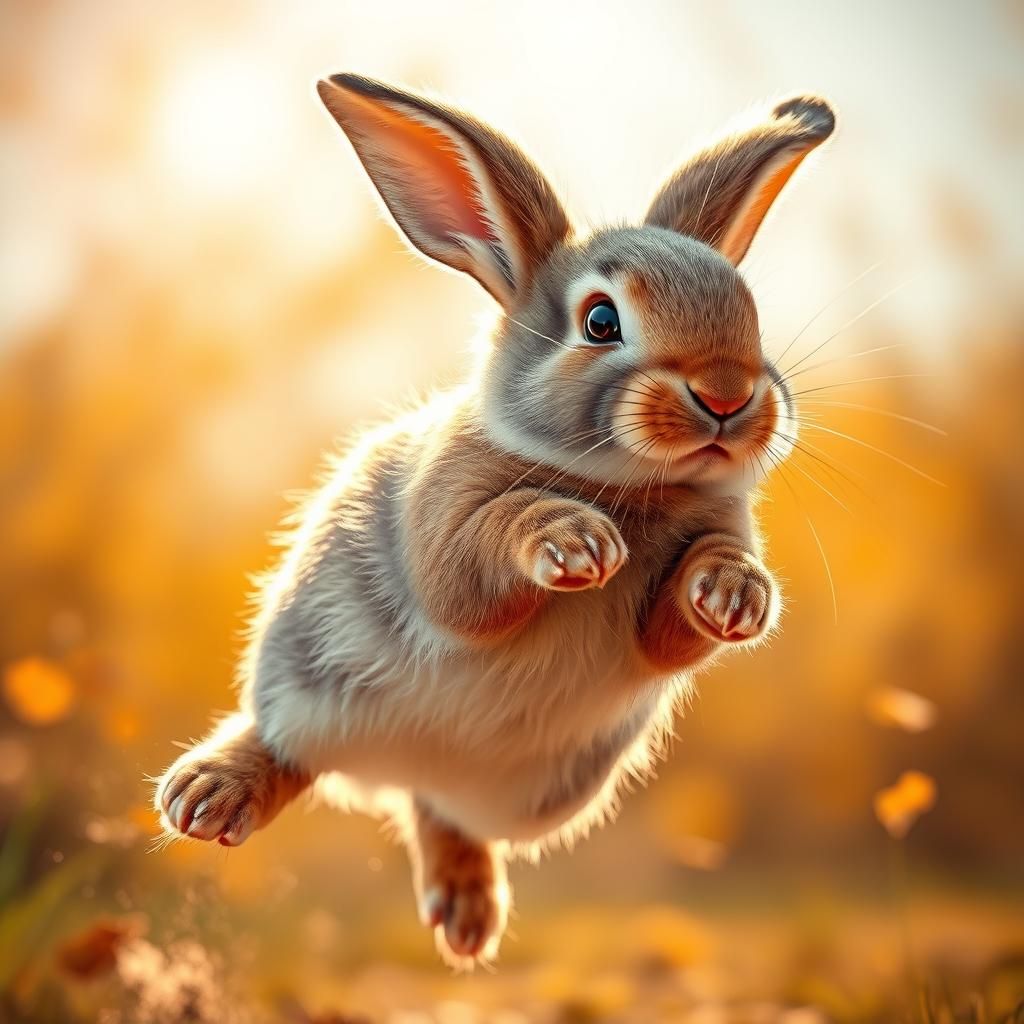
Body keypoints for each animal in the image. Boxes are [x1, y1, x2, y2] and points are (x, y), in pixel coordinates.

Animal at [154, 72, 835, 965]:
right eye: (602, 321)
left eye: (749, 310)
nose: (727, 394)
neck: (626, 483)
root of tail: (408, 764)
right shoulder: (441, 523)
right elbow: (478, 559)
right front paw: (573, 541)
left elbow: (680, 614)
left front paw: (735, 595)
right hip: (308, 689)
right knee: (286, 747)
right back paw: (207, 798)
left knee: (441, 814)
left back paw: (468, 915)